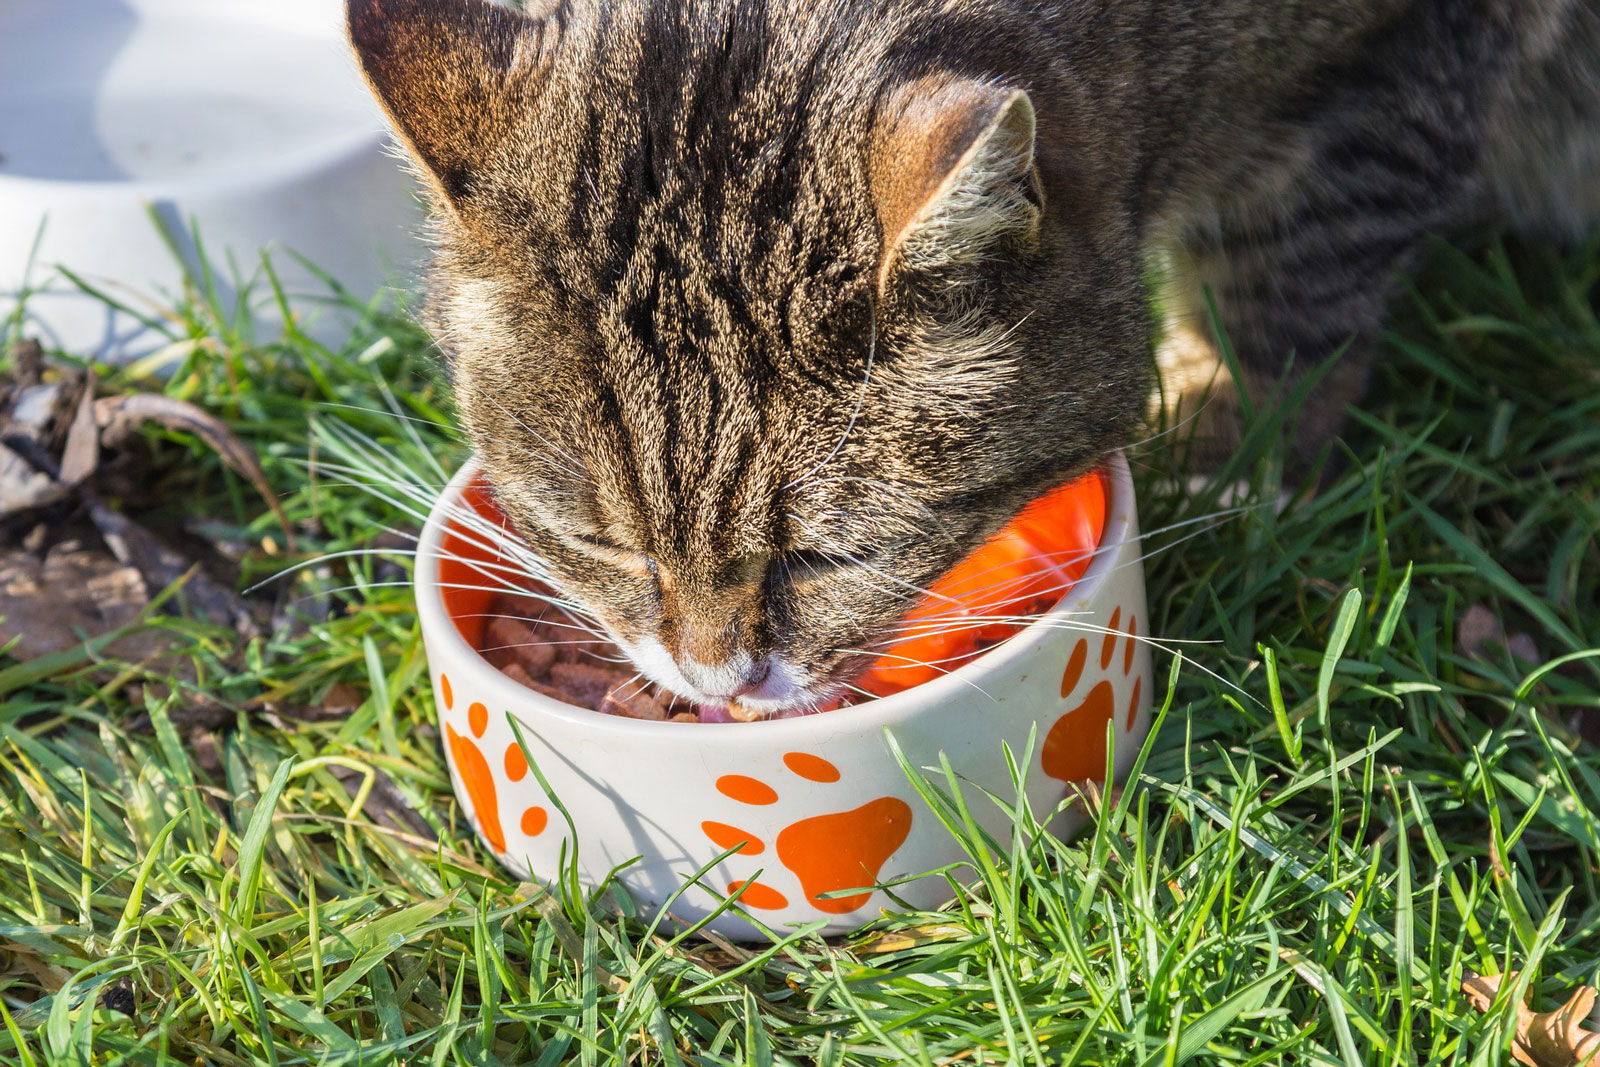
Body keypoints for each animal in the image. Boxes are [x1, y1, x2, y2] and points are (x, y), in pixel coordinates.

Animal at [347, 0, 1600, 716]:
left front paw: (1234, 457)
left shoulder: (1388, 76)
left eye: (827, 556)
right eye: (602, 542)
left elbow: (1287, 284)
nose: (715, 680)